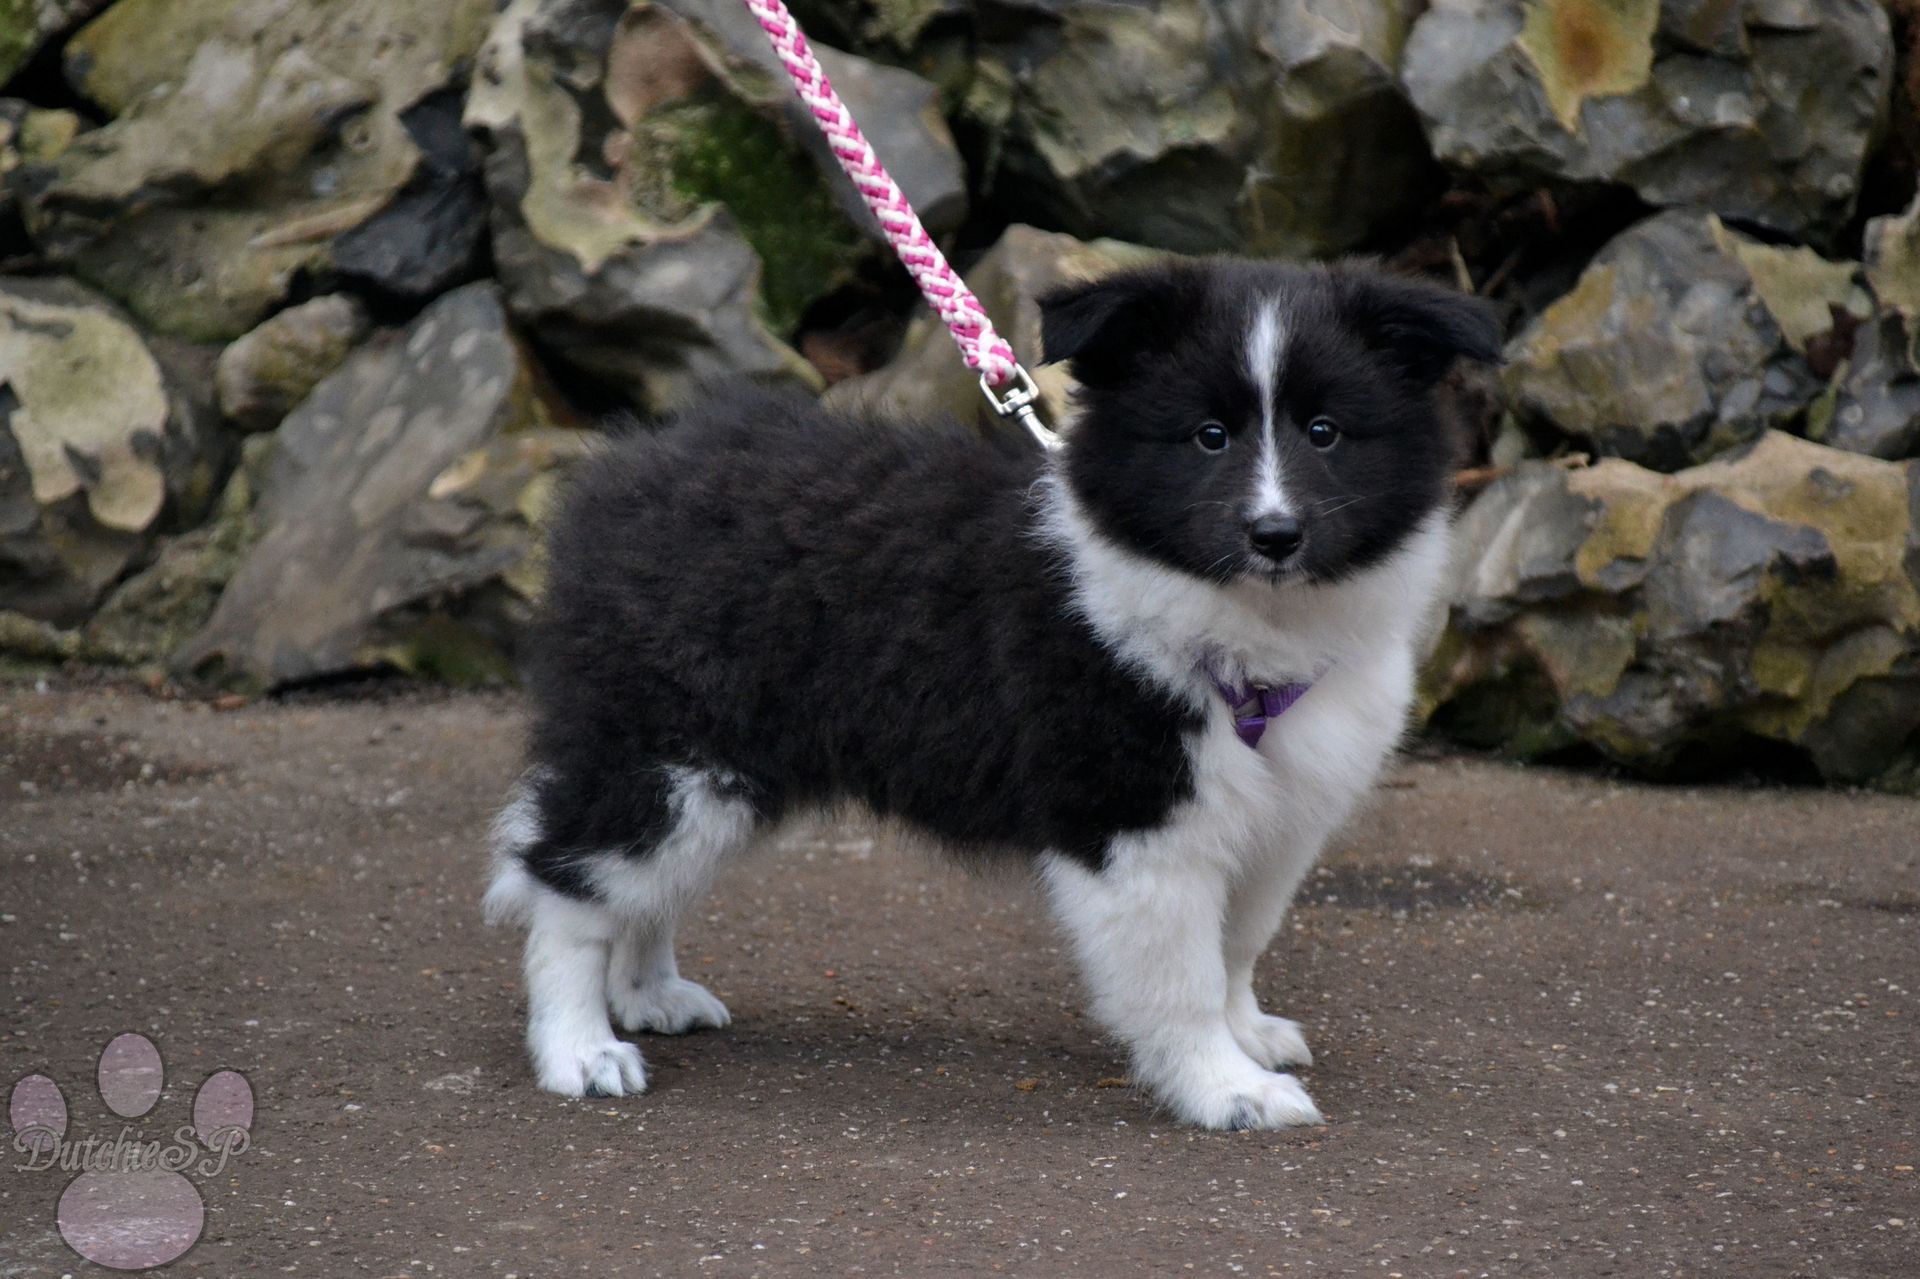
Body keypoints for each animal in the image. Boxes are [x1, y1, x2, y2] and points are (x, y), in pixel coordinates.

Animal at [484, 257, 1501, 1129]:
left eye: (1326, 431)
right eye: (1208, 437)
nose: (1275, 534)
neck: (1250, 623)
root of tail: (625, 472)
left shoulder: (1281, 814)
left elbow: (1238, 944)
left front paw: (1248, 1037)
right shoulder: (1135, 821)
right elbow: (1181, 978)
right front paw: (1227, 1090)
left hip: (728, 766)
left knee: (639, 889)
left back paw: (649, 995)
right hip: (670, 753)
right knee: (569, 885)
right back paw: (581, 1050)